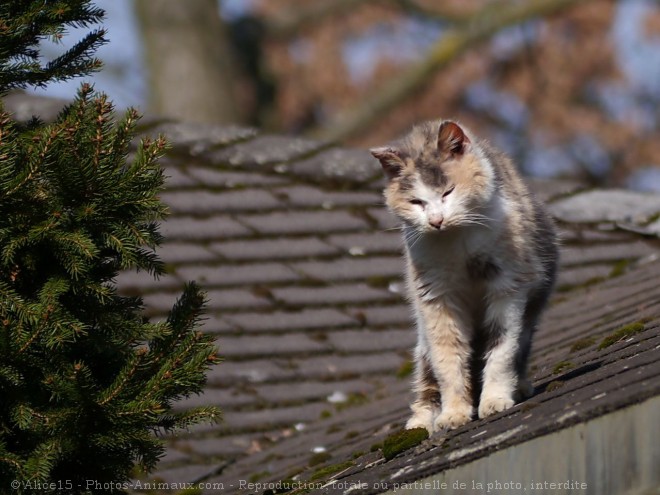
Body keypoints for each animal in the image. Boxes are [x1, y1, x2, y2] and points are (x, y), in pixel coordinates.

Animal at [372, 120, 556, 434]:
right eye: (416, 202)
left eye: (448, 192)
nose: (436, 221)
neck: (458, 241)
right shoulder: (435, 297)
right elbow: (448, 360)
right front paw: (454, 414)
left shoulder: (508, 285)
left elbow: (502, 348)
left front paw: (494, 400)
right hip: (423, 341)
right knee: (427, 376)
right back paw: (421, 422)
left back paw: (518, 387)